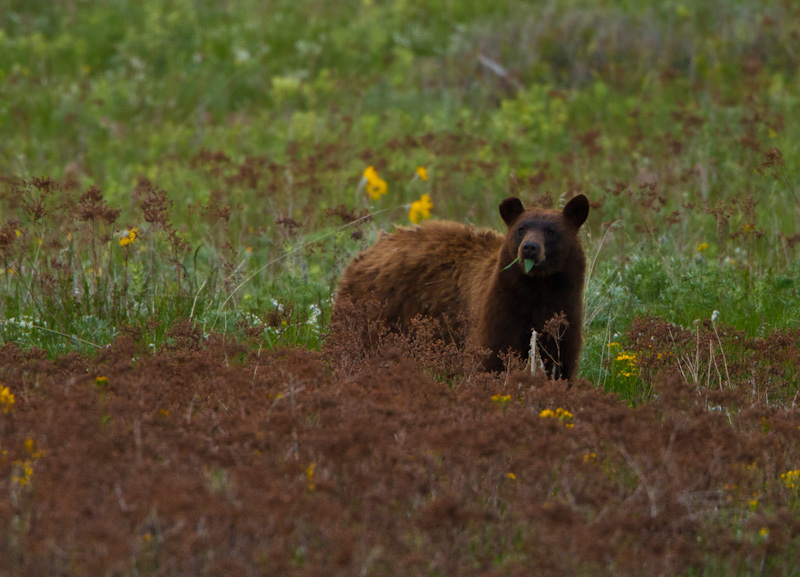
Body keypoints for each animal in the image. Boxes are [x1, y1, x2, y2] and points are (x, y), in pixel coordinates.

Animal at [334, 196, 592, 380]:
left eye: (551, 231)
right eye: (521, 229)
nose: (529, 247)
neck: (537, 290)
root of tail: (366, 253)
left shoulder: (564, 313)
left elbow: (559, 364)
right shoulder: (499, 309)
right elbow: (491, 361)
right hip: (377, 314)